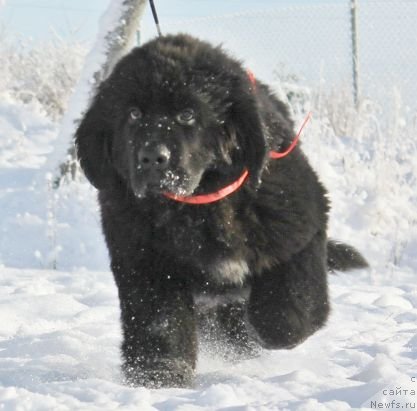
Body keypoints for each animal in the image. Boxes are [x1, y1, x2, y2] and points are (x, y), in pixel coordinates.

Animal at [75, 33, 368, 388]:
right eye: (133, 113)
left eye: (187, 114)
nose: (152, 158)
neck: (201, 206)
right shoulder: (146, 263)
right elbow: (159, 322)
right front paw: (160, 375)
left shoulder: (299, 230)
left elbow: (287, 309)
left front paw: (271, 328)